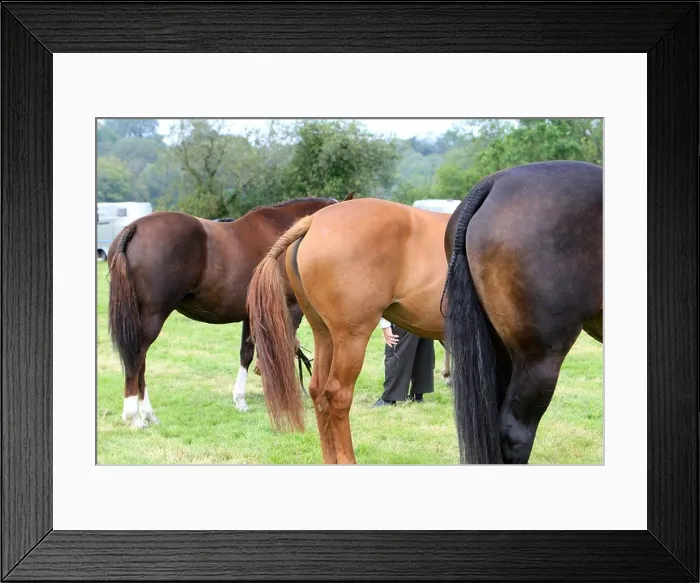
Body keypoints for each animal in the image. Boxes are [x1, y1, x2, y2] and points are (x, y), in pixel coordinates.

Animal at [107, 193, 353, 428]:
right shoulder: (288, 310)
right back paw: (134, 417)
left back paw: (148, 415)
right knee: (136, 357)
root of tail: (134, 228)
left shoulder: (250, 315)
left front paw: (240, 400)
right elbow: (282, 350)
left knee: (139, 362)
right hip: (152, 317)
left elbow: (248, 353)